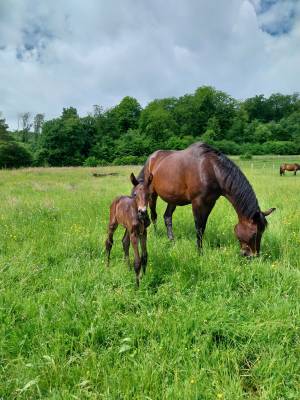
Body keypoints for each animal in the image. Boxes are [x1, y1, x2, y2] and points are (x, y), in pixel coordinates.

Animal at [137, 142, 276, 258]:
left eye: (263, 231)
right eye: (254, 233)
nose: (252, 256)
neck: (211, 169)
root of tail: (151, 158)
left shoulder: (210, 202)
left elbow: (203, 226)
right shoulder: (197, 202)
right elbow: (198, 227)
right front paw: (199, 252)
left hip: (173, 198)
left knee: (167, 217)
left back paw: (172, 241)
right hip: (152, 194)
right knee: (154, 215)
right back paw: (156, 235)